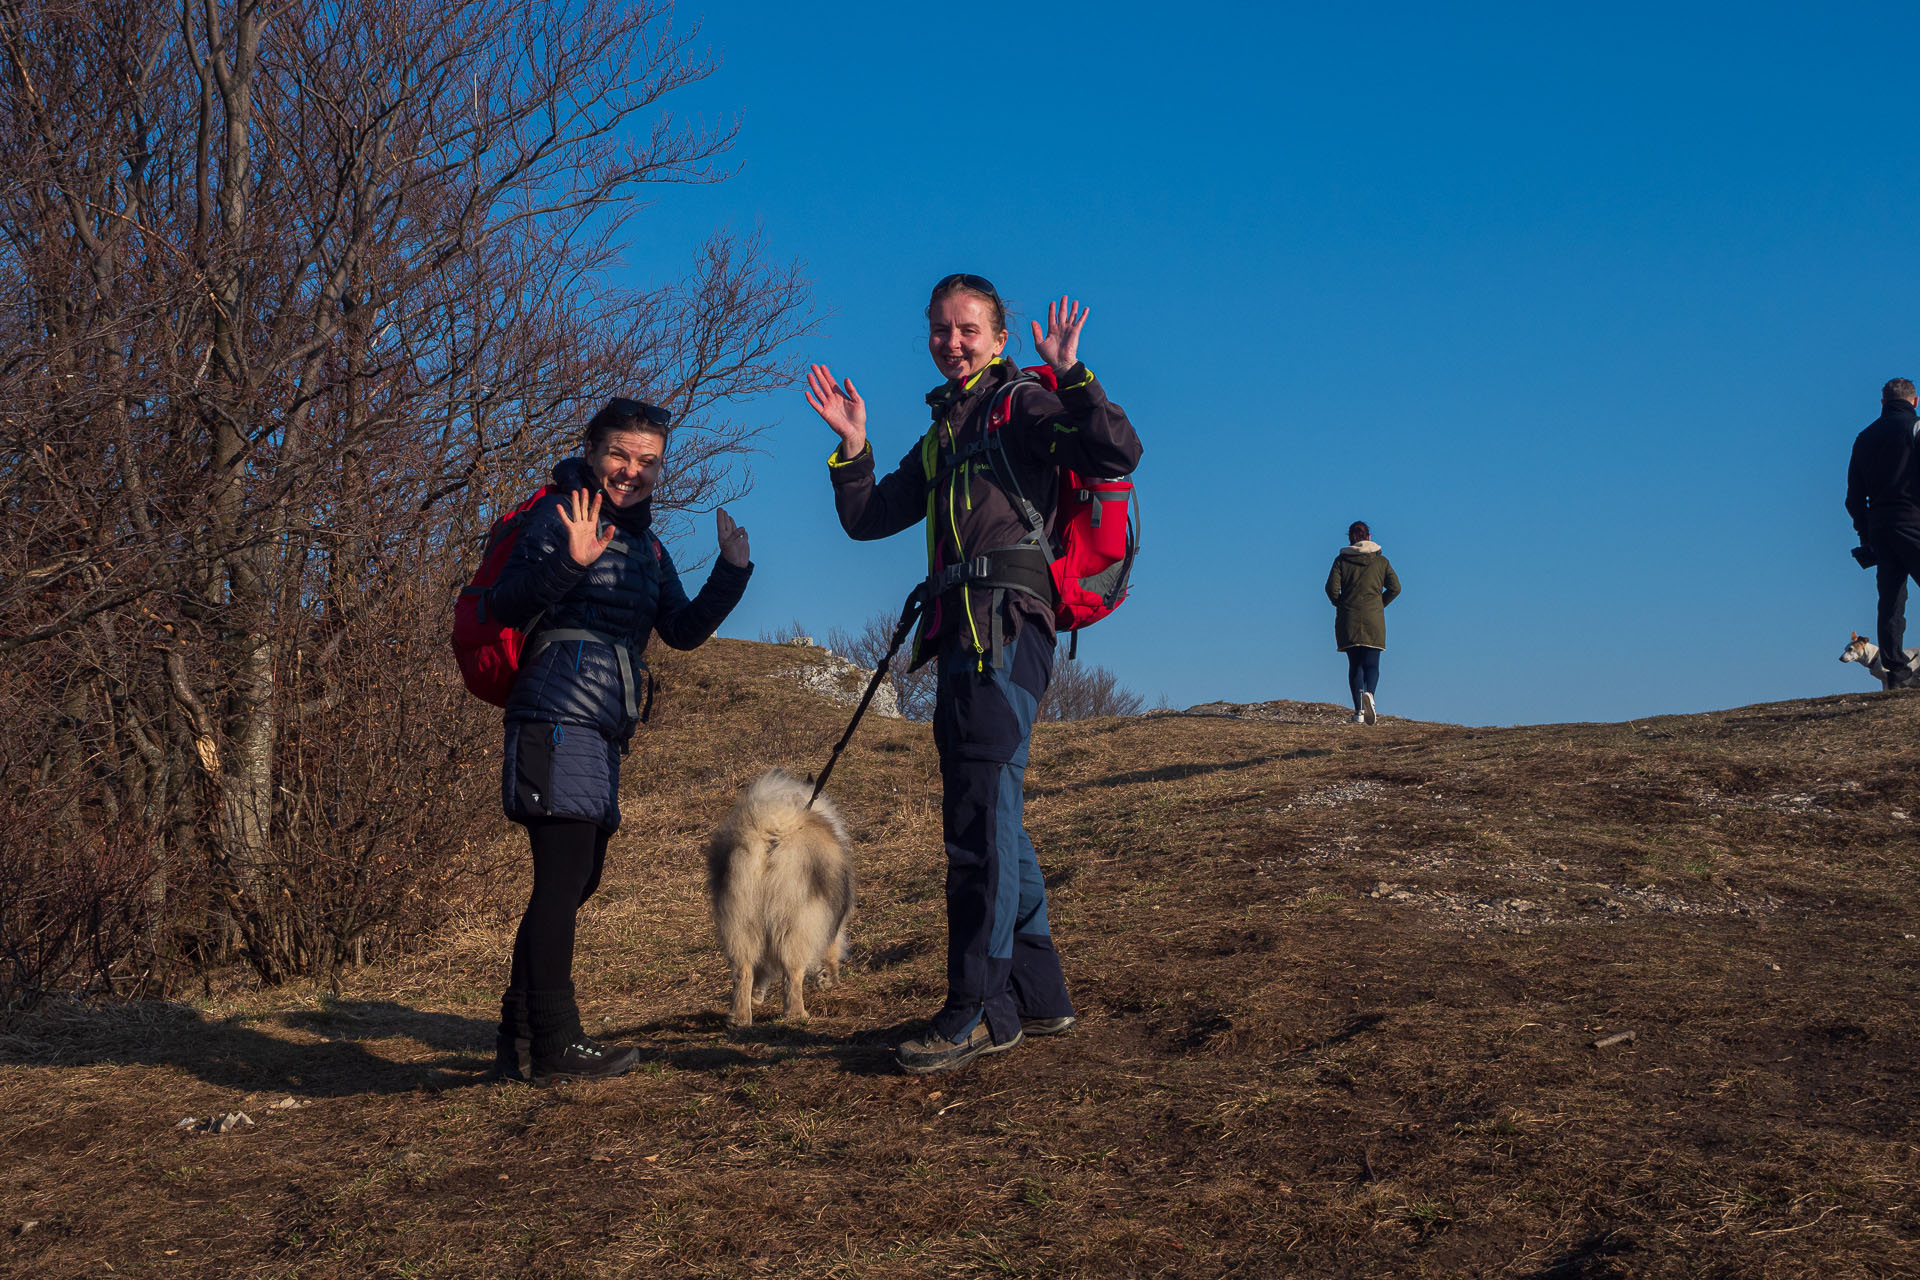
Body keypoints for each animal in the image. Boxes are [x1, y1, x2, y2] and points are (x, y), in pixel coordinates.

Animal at [706, 771, 856, 1028]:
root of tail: (770, 835)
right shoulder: (831, 920)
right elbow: (832, 949)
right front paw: (828, 979)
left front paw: (757, 996)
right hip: (796, 924)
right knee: (792, 973)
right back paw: (797, 1015)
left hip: (742, 924)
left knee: (743, 971)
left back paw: (740, 1018)